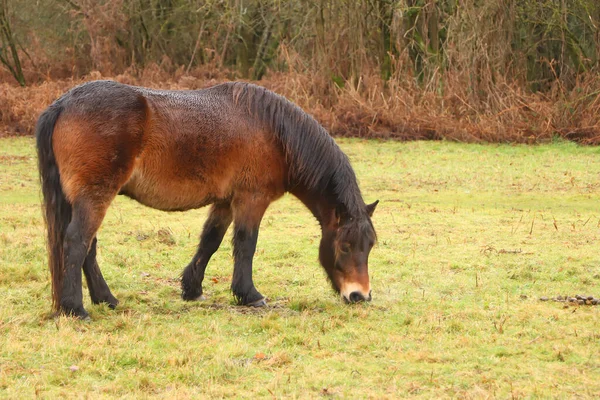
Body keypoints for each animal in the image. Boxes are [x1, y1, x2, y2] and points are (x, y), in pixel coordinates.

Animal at [35, 81, 378, 318]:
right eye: (345, 246)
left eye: (370, 246)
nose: (360, 295)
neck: (273, 132)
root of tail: (63, 103)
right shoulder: (251, 199)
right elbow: (246, 245)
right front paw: (249, 294)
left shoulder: (225, 201)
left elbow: (210, 242)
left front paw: (192, 288)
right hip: (95, 196)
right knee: (77, 242)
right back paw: (75, 308)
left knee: (87, 248)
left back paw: (105, 299)